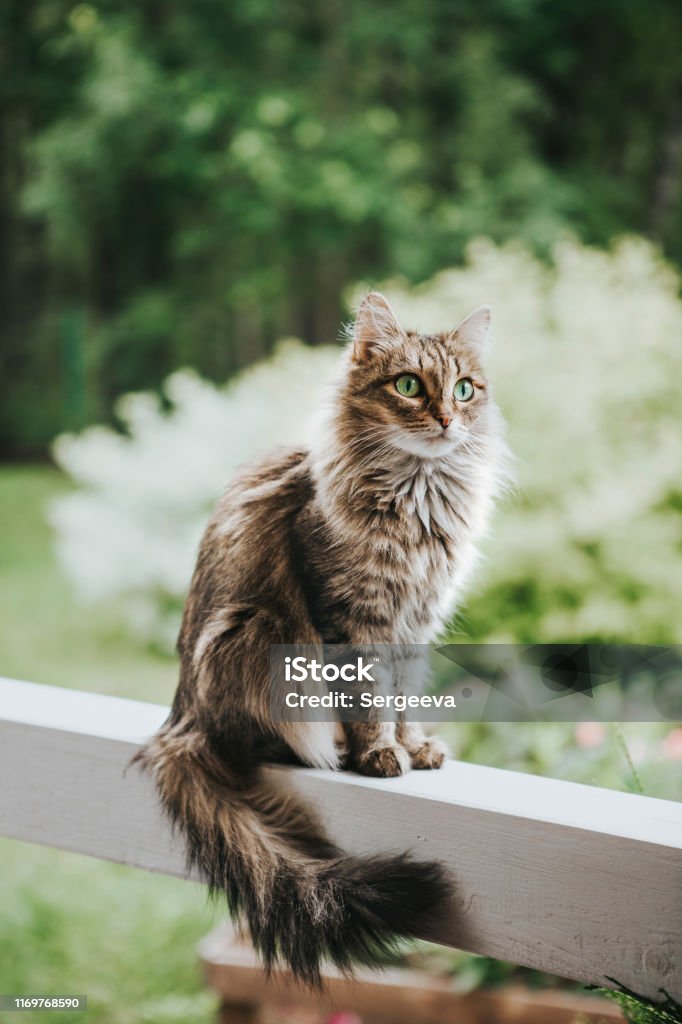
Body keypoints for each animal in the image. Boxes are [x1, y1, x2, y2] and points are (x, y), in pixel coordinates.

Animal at [133, 290, 507, 983]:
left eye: (465, 389)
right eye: (409, 386)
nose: (447, 419)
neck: (418, 501)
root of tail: (179, 720)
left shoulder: (415, 626)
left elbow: (405, 701)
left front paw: (415, 747)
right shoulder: (352, 619)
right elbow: (368, 701)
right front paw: (378, 755)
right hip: (261, 637)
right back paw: (322, 747)